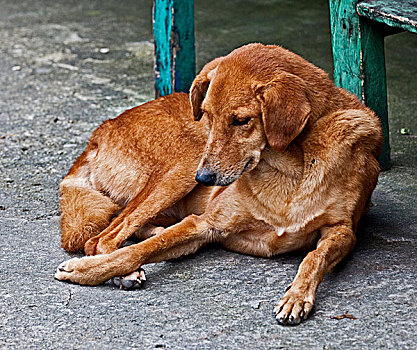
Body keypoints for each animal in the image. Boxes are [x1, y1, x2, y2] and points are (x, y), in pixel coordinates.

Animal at [56, 43, 384, 326]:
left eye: (241, 120)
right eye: (208, 116)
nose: (204, 179)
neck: (289, 170)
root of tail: (101, 130)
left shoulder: (342, 231)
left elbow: (315, 257)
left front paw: (297, 296)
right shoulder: (206, 223)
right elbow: (138, 251)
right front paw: (85, 270)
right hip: (183, 166)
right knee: (103, 238)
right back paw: (125, 267)